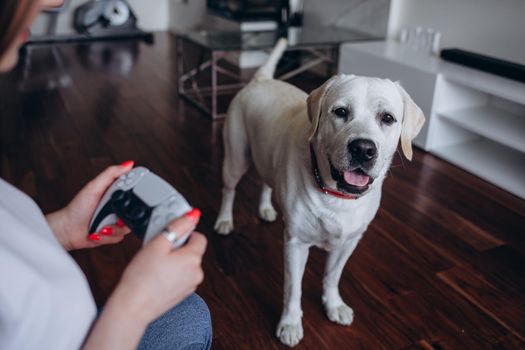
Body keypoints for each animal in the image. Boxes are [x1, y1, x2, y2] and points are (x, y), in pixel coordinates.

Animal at [215, 39, 424, 348]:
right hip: (236, 157)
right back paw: (224, 220)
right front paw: (290, 323)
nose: (363, 148)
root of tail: (261, 79)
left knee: (266, 181)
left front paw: (333, 304)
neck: (337, 198)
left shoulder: (348, 243)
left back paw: (265, 208)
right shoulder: (296, 245)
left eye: (387, 118)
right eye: (340, 112)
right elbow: (293, 289)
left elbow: (331, 277)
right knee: (228, 190)